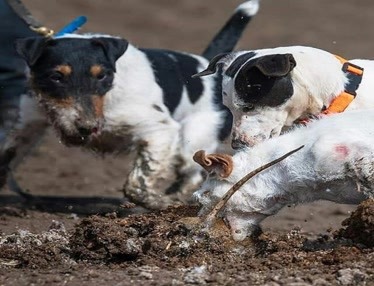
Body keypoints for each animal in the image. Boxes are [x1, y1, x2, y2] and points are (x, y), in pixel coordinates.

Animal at [14, 1, 260, 209]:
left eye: (101, 75)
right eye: (56, 77)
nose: (86, 128)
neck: (109, 96)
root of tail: (208, 68)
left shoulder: (159, 129)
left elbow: (138, 182)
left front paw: (158, 202)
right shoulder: (30, 121)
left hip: (194, 138)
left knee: (193, 172)